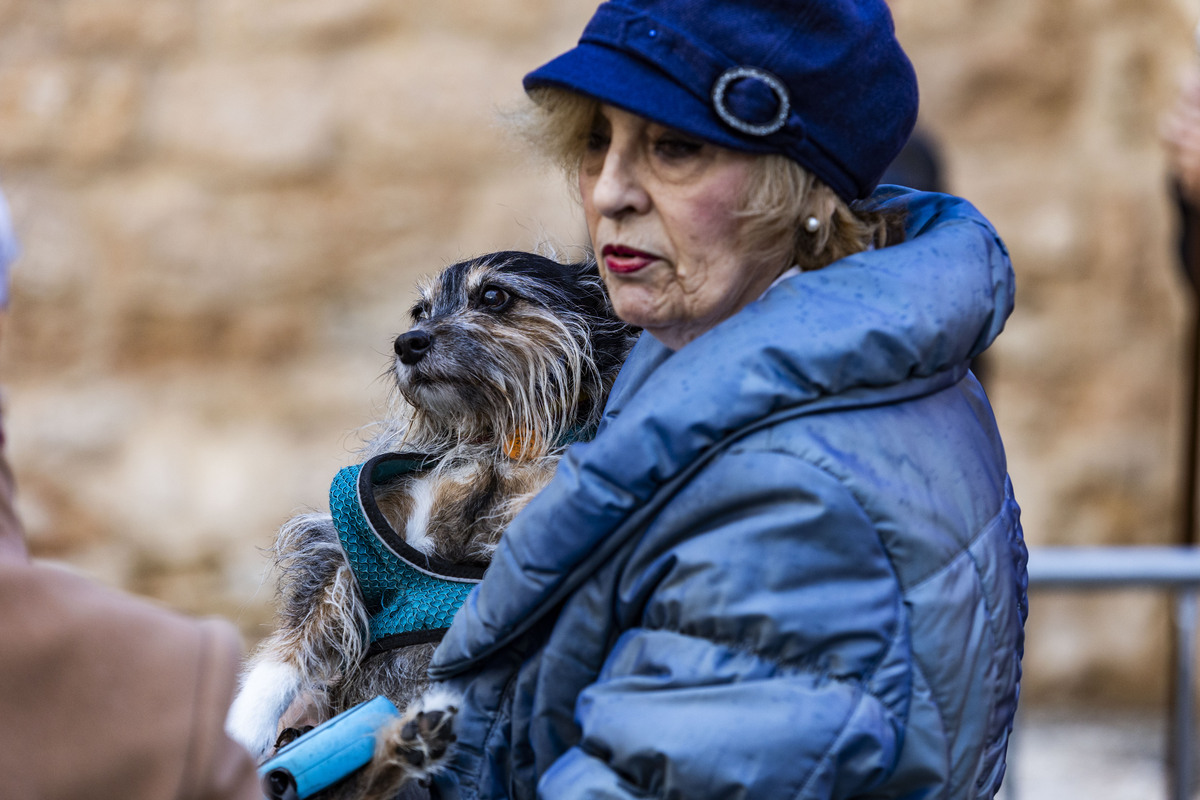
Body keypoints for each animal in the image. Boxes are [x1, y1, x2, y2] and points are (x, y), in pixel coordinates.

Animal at [225, 248, 638, 796]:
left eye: (494, 295)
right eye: (418, 311)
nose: (407, 343)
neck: (496, 441)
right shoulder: (340, 550)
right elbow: (286, 651)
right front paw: (239, 730)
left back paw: (412, 743)